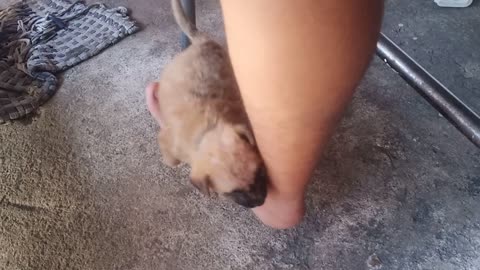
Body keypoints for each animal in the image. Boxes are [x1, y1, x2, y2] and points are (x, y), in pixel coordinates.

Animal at [144, 0, 268, 208]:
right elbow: (171, 160)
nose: (260, 201)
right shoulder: (167, 139)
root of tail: (202, 42)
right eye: (235, 193)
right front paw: (170, 161)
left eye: (259, 173)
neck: (206, 134)